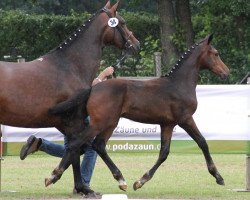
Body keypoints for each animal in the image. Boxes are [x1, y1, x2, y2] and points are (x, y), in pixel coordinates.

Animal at [0, 0, 140, 195]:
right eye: (124, 22)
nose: (136, 45)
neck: (70, 66)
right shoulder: (74, 120)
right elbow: (79, 149)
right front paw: (86, 186)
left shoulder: (66, 123)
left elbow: (77, 149)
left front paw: (71, 183)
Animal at [48, 34, 229, 192]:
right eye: (216, 53)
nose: (226, 72)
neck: (178, 84)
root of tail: (93, 88)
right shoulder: (185, 119)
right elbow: (202, 142)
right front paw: (218, 177)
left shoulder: (167, 124)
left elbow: (164, 152)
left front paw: (140, 181)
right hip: (100, 123)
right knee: (77, 143)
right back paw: (54, 176)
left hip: (110, 123)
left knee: (97, 145)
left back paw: (119, 180)